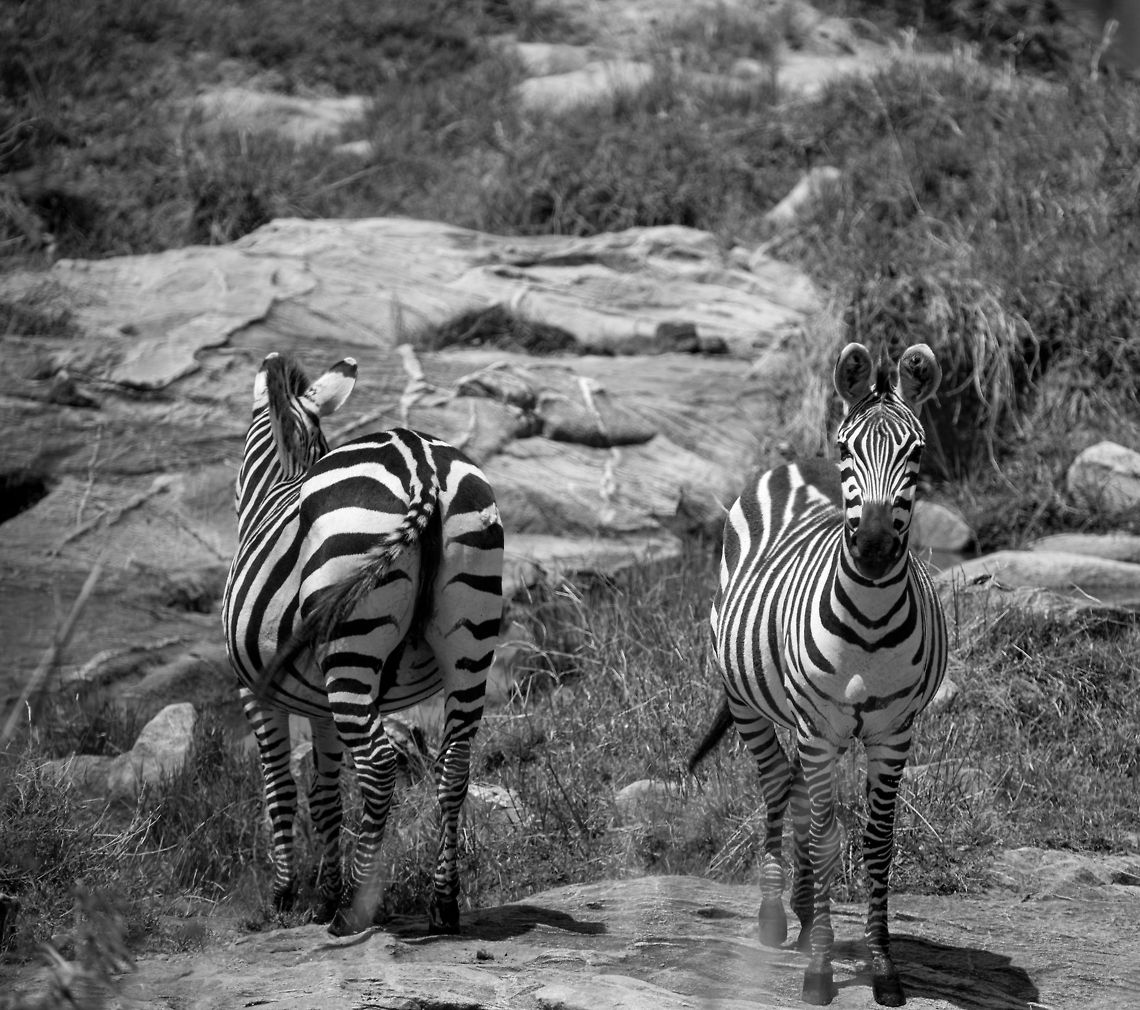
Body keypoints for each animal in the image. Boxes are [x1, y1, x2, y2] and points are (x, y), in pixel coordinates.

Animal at [221, 351, 503, 936]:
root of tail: (421, 464)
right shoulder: (318, 702)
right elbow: (325, 795)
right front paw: (324, 894)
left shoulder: (254, 691)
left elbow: (281, 791)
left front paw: (287, 896)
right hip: (470, 638)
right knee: (454, 765)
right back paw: (443, 904)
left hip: (350, 648)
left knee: (378, 765)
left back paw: (355, 910)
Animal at [690, 341, 948, 1006]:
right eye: (848, 450)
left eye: (916, 454)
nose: (876, 548)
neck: (872, 617)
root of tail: (797, 461)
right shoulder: (819, 726)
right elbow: (829, 837)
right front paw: (821, 971)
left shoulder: (893, 733)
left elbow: (877, 845)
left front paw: (882, 968)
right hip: (753, 703)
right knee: (780, 784)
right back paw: (778, 916)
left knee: (802, 795)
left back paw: (806, 913)